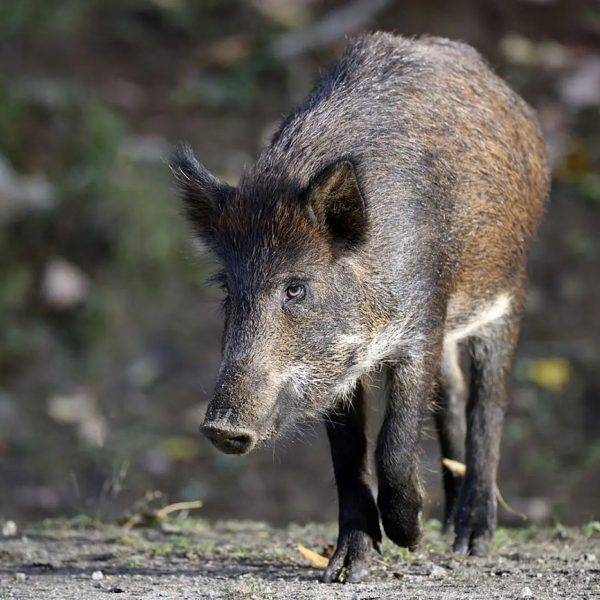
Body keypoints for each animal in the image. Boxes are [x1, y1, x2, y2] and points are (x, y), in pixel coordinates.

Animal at [170, 32, 550, 583]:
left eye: (296, 289)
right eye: (226, 287)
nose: (220, 428)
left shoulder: (423, 321)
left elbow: (393, 441)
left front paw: (410, 537)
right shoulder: (337, 369)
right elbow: (348, 456)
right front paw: (345, 569)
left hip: (508, 290)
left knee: (489, 402)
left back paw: (471, 541)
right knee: (453, 398)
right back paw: (449, 528)